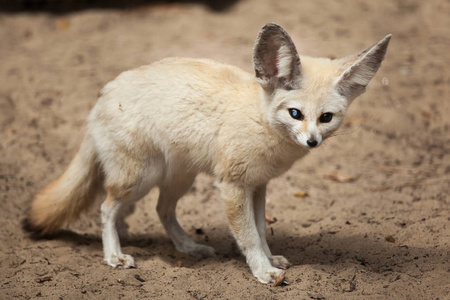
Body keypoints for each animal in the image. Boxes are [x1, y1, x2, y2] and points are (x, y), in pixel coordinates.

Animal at [26, 24, 390, 284]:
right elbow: (249, 237)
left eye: (326, 118)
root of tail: (103, 94)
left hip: (179, 181)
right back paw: (114, 256)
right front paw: (263, 271)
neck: (258, 118)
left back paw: (188, 247)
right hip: (138, 179)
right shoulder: (232, 187)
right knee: (106, 208)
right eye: (295, 114)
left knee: (162, 210)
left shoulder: (258, 186)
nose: (312, 142)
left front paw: (271, 259)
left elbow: (261, 230)